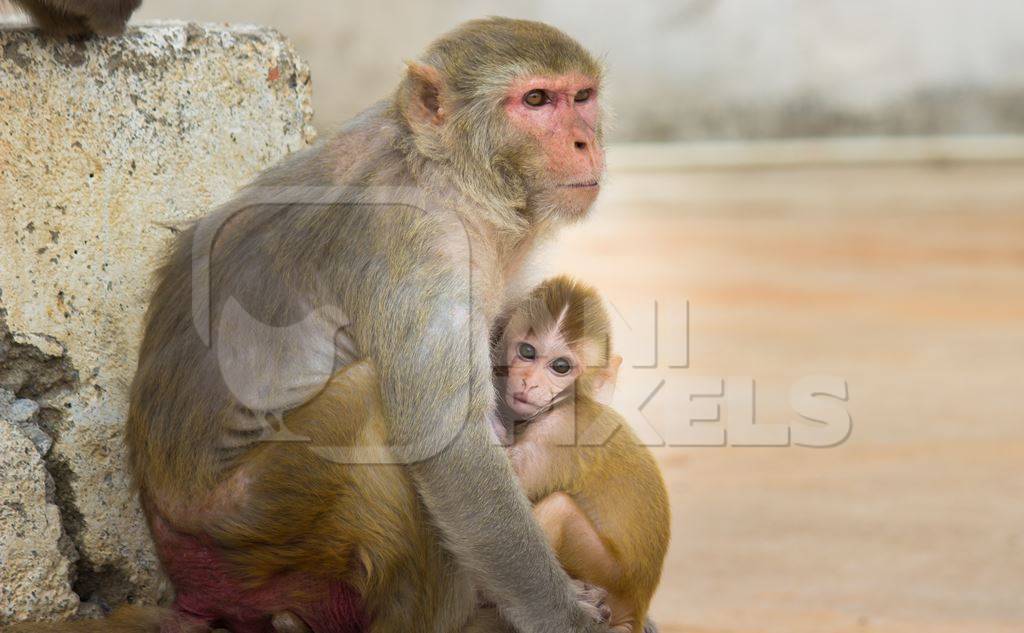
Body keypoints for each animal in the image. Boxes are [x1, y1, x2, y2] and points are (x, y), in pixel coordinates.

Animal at [120, 14, 606, 633]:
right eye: (537, 99)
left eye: (582, 97)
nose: (585, 141)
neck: (448, 171)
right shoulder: (420, 245)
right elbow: (450, 445)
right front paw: (567, 615)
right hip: (247, 521)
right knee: (367, 403)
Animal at [487, 276, 671, 630]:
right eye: (527, 352)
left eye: (560, 367)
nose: (528, 382)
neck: (568, 401)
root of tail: (639, 603)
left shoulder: (557, 433)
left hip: (610, 575)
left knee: (557, 508)